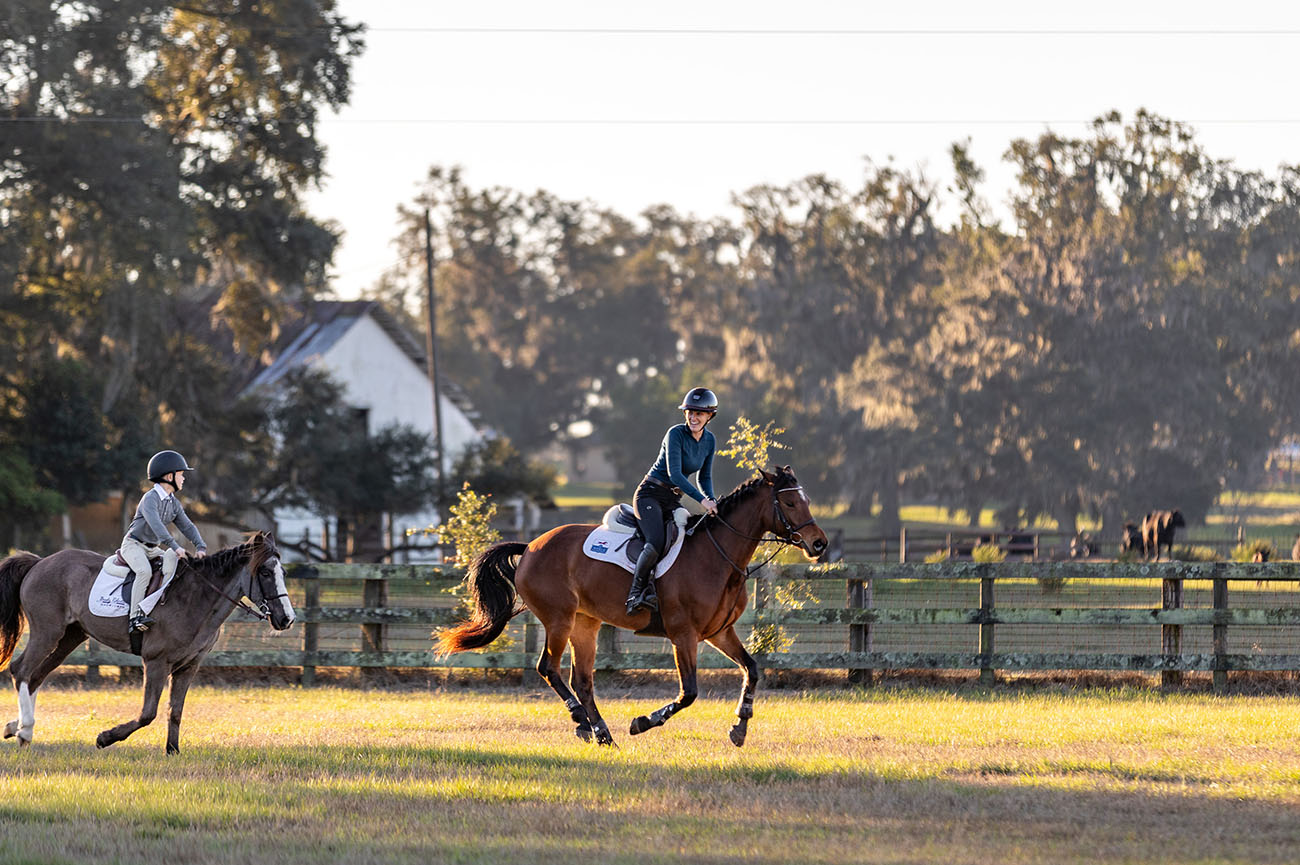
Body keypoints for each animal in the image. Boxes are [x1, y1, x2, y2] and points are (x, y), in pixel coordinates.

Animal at [0, 531, 295, 753]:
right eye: (265, 573)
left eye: (282, 572)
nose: (287, 619)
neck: (197, 598)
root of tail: (39, 562)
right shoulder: (156, 662)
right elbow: (148, 713)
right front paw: (105, 737)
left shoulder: (188, 667)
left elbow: (175, 711)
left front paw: (173, 750)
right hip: (47, 632)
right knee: (21, 670)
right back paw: (25, 730)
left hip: (69, 638)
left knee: (36, 676)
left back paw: (18, 727)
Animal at [436, 465, 829, 748]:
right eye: (790, 504)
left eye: (807, 501)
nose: (819, 544)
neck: (717, 557)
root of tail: (531, 545)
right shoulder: (683, 635)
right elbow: (689, 693)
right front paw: (642, 722)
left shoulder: (719, 632)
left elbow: (752, 668)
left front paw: (740, 726)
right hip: (559, 619)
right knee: (549, 668)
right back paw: (582, 722)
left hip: (585, 624)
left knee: (583, 680)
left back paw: (600, 732)